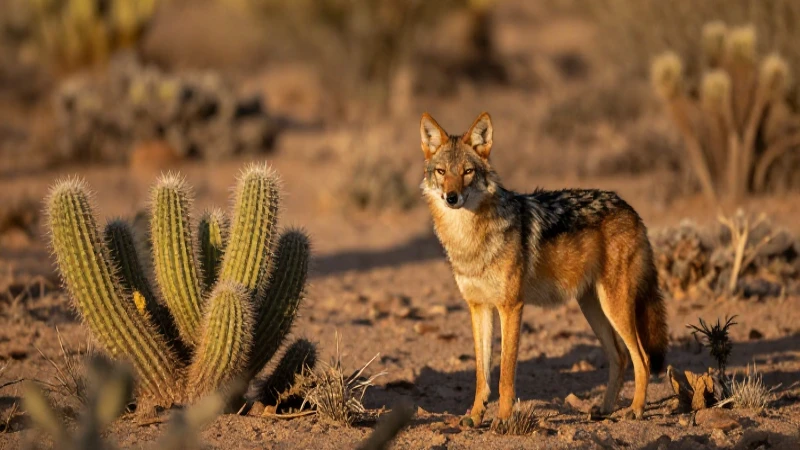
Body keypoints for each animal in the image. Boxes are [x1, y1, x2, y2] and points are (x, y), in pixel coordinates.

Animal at [419, 111, 668, 426]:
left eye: (467, 172)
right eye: (441, 172)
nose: (451, 197)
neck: (469, 240)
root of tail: (629, 208)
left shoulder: (511, 307)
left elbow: (505, 374)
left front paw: (503, 420)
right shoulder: (479, 307)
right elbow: (481, 375)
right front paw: (475, 416)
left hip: (615, 307)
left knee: (642, 359)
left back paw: (635, 409)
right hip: (593, 309)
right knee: (620, 357)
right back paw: (605, 408)